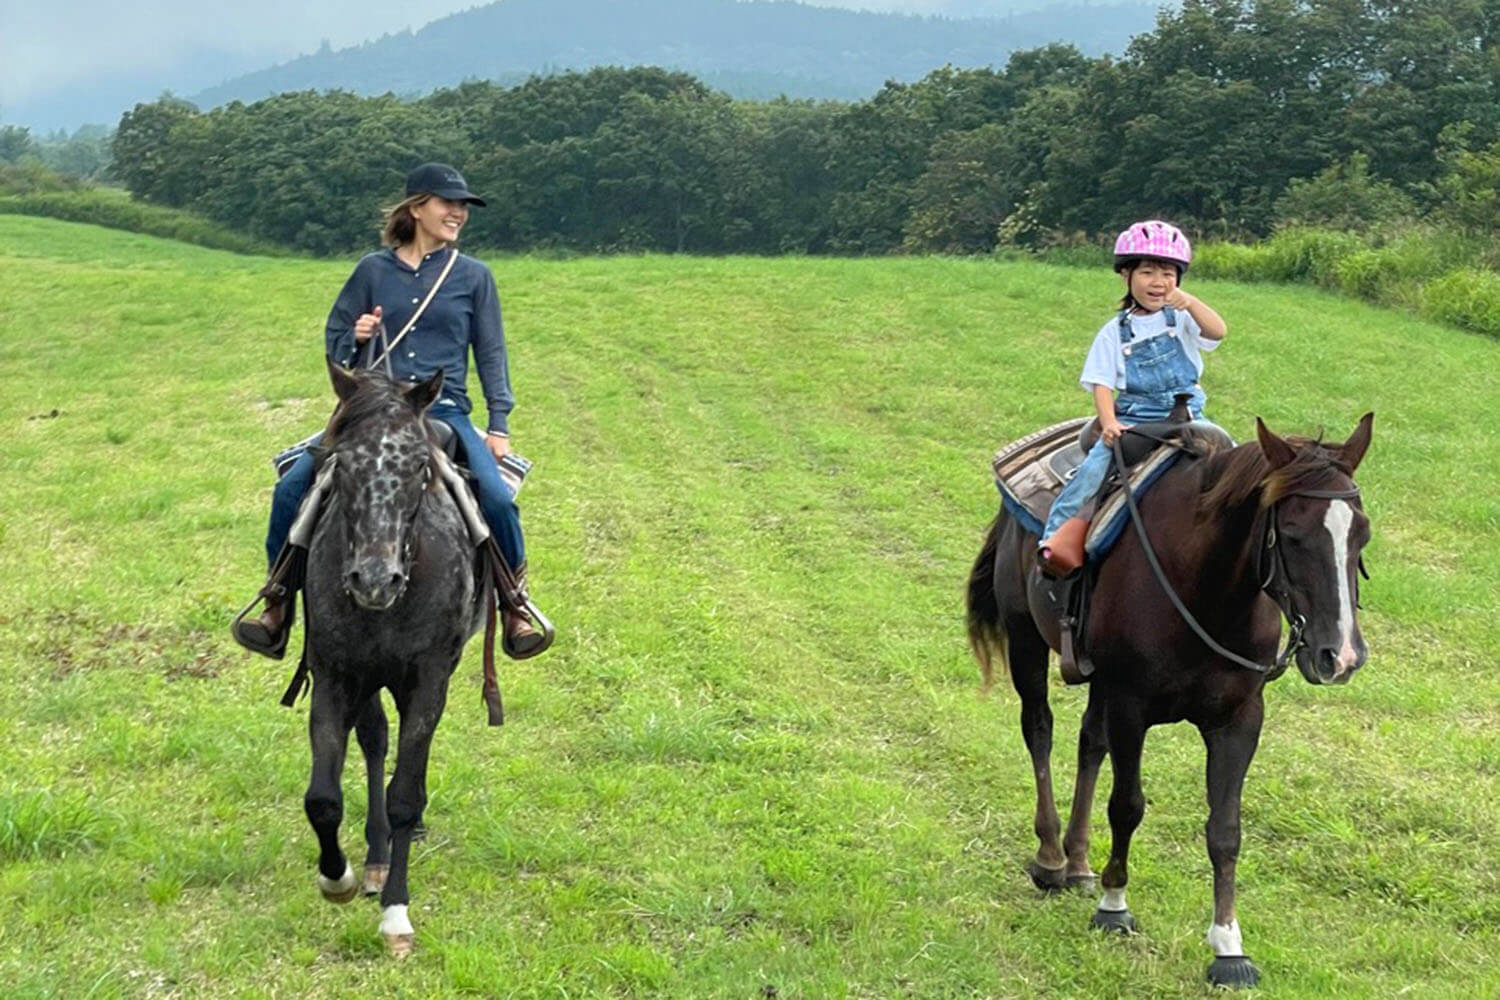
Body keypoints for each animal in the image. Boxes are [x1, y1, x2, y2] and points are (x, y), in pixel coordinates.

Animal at [300, 361, 488, 956]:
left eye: (419, 467)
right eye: (342, 463)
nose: (374, 581)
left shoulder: (428, 679)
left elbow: (405, 792)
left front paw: (395, 913)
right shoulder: (337, 673)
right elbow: (323, 798)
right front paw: (337, 878)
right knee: (376, 741)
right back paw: (376, 857)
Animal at [966, 413, 1373, 988]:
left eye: (1362, 532)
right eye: (1292, 535)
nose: (1341, 654)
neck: (1205, 589)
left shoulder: (1239, 719)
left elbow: (1225, 830)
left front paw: (1229, 946)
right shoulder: (1130, 706)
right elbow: (1127, 806)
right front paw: (1114, 908)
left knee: (1089, 744)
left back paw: (1079, 863)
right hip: (1026, 640)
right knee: (1039, 730)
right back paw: (1050, 858)